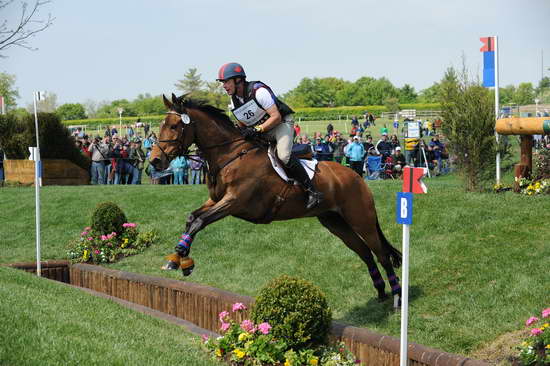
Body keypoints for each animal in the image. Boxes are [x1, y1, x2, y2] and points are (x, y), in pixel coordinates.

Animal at [151, 93, 406, 304]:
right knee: (365, 253)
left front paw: (180, 257)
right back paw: (381, 292)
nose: (155, 161)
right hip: (335, 222)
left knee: (381, 254)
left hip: (361, 219)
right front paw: (178, 258)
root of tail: (355, 175)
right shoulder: (216, 200)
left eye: (174, 126)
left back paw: (396, 296)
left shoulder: (234, 202)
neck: (230, 155)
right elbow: (191, 218)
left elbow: (199, 221)